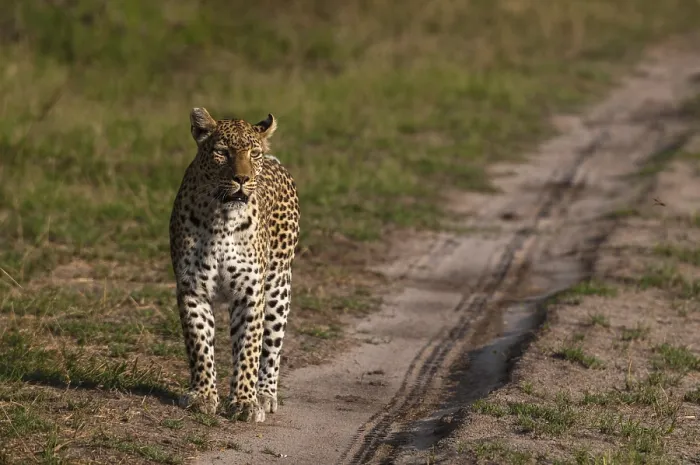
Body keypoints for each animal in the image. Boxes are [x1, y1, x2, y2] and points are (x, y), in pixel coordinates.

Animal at [169, 108, 299, 422]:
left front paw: (244, 402)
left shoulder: (250, 293)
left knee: (271, 345)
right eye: (222, 152)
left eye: (253, 153)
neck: (222, 219)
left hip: (278, 286)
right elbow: (200, 345)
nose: (242, 178)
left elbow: (249, 349)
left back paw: (264, 394)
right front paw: (203, 395)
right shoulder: (193, 289)